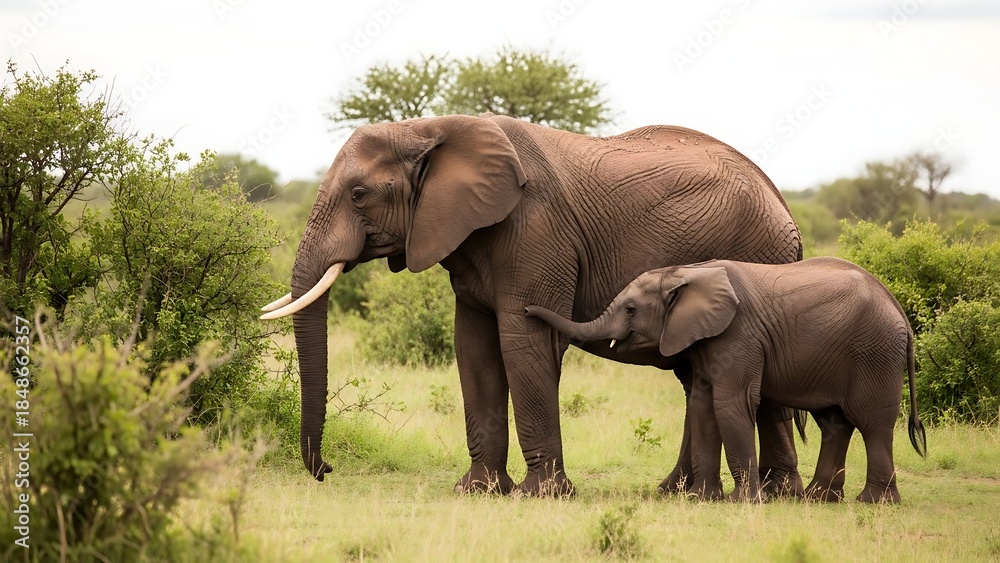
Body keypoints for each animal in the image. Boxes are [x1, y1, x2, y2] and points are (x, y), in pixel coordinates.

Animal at [259, 113, 805, 496]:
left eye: (358, 194)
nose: (327, 470)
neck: (428, 129)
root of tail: (783, 203)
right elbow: (474, 349)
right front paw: (476, 491)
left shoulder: (535, 232)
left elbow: (523, 342)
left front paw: (540, 494)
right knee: (697, 379)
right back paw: (680, 491)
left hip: (757, 257)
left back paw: (777, 494)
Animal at [525, 256, 927, 503]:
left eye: (630, 309)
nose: (527, 309)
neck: (686, 273)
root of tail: (899, 311)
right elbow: (703, 405)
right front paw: (701, 498)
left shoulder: (738, 334)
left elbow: (731, 404)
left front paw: (742, 501)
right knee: (834, 422)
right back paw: (819, 498)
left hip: (875, 353)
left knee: (872, 423)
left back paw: (873, 502)